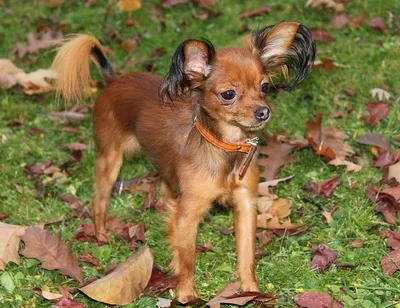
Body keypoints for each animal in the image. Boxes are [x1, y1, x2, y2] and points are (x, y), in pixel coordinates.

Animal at [52, 22, 316, 304]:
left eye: (265, 87)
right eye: (228, 94)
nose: (263, 112)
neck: (225, 147)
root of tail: (114, 80)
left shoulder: (245, 205)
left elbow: (247, 256)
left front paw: (252, 291)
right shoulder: (189, 214)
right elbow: (188, 260)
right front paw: (187, 295)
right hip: (109, 160)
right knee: (99, 201)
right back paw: (101, 234)